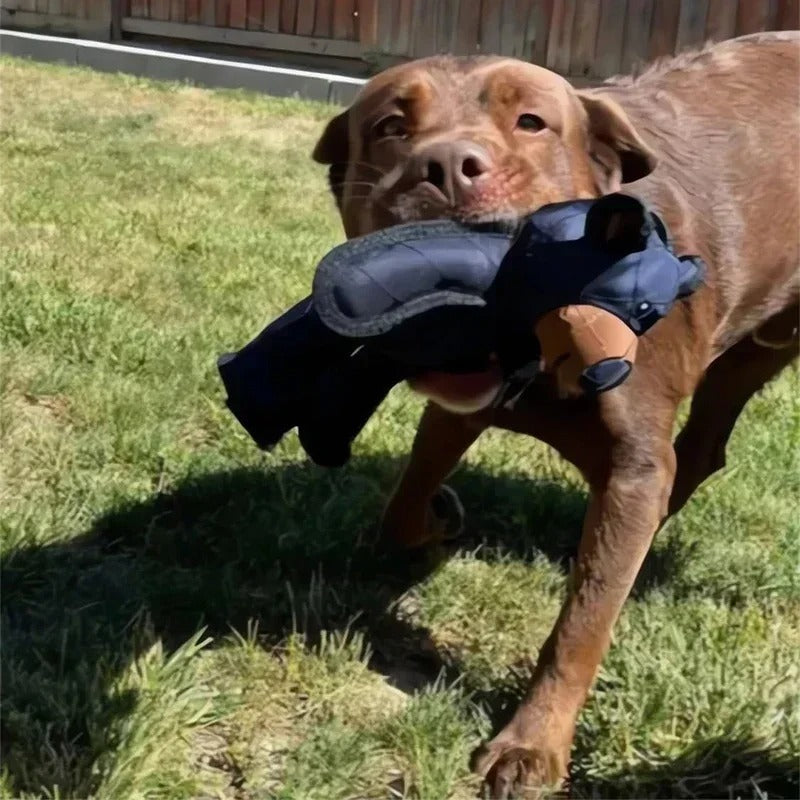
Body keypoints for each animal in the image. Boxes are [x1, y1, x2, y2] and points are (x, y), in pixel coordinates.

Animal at [310, 31, 792, 792]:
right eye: (390, 127)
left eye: (531, 123)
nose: (447, 167)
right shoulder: (459, 405)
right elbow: (404, 500)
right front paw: (439, 519)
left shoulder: (633, 465)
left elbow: (582, 623)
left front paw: (532, 744)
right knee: (703, 449)